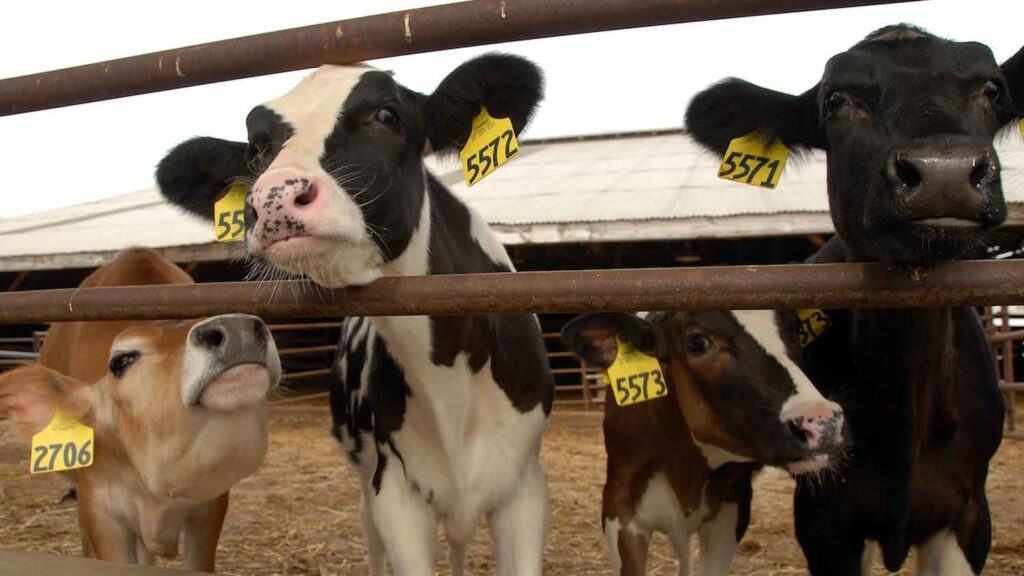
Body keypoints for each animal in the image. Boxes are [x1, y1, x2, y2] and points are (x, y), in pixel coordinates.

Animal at [155, 55, 554, 575]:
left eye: (387, 115)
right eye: (258, 147)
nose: (273, 198)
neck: (450, 387)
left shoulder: (525, 488)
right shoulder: (394, 492)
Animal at [562, 310, 846, 575]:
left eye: (794, 329)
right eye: (697, 342)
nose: (823, 422)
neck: (684, 466)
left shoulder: (732, 508)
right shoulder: (619, 510)